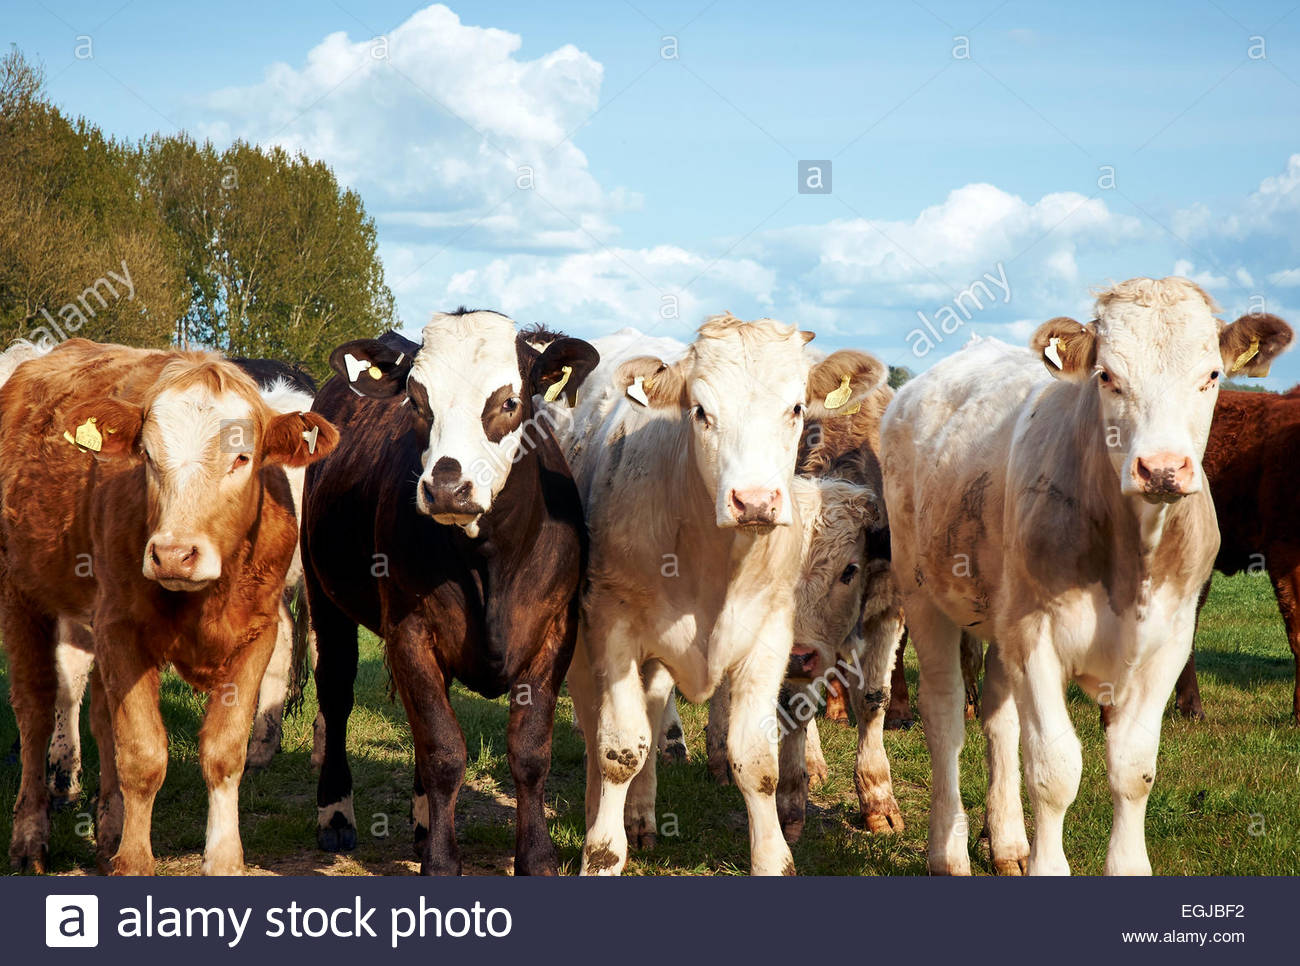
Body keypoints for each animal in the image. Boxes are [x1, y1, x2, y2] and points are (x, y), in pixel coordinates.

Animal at [1, 338, 336, 874]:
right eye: (148, 456)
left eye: (242, 458)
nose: (174, 553)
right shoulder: (120, 629)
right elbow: (141, 754)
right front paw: (135, 860)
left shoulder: (254, 634)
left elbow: (222, 752)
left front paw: (224, 860)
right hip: (21, 594)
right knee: (35, 708)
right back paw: (33, 835)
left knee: (97, 713)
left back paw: (108, 829)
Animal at [300, 310, 598, 875]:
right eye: (416, 402)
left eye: (510, 402)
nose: (446, 487)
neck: (490, 566)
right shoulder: (410, 632)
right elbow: (443, 750)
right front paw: (441, 862)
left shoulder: (555, 632)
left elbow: (529, 752)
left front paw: (536, 858)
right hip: (323, 596)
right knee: (336, 692)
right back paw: (335, 815)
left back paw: (420, 826)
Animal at [563, 313, 884, 875]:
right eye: (701, 411)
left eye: (796, 407)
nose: (754, 501)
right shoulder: (613, 626)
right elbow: (619, 751)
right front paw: (601, 853)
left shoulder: (770, 636)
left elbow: (756, 760)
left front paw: (774, 859)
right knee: (597, 723)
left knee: (652, 711)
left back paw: (641, 816)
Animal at [882, 277, 1291, 876]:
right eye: (1107, 376)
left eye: (1212, 375)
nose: (1162, 469)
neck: (1132, 560)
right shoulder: (1037, 637)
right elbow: (1054, 770)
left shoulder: (1168, 642)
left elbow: (1134, 768)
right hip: (924, 594)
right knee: (945, 718)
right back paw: (949, 852)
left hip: (1000, 617)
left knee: (999, 720)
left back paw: (1007, 842)